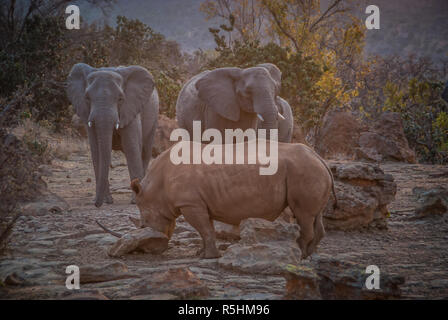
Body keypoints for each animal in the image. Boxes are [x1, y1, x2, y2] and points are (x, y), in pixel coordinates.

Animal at [65, 63, 158, 208]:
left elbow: (131, 149)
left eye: (120, 99)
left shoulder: (131, 109)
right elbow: (97, 151)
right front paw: (107, 201)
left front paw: (135, 201)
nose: (96, 204)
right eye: (87, 98)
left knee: (145, 152)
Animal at [123, 141, 336, 258]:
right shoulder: (199, 203)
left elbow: (205, 229)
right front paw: (201, 254)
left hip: (304, 170)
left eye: (144, 225)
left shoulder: (190, 203)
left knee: (303, 215)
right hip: (310, 170)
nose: (148, 250)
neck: (156, 188)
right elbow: (206, 230)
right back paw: (310, 254)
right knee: (315, 216)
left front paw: (208, 257)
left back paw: (300, 253)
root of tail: (319, 158)